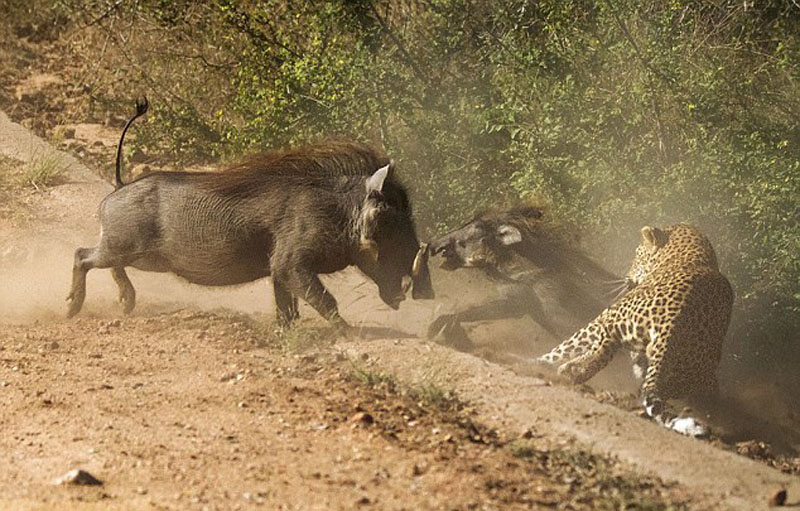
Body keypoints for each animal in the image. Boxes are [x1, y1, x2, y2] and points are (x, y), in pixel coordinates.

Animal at [536, 223, 732, 436]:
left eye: (637, 254)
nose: (627, 278)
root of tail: (673, 325)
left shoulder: (605, 317)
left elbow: (567, 346)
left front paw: (541, 361)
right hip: (695, 375)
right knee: (654, 389)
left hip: (612, 319)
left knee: (598, 353)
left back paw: (558, 368)